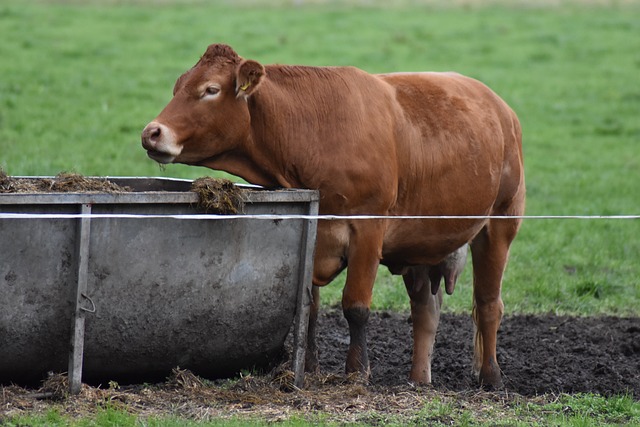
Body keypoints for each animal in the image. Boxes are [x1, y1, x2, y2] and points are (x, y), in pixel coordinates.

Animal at [141, 43, 524, 388]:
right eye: (178, 86)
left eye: (210, 90)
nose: (151, 132)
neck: (316, 131)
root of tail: (501, 108)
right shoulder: (313, 229)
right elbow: (308, 307)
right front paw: (309, 368)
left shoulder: (369, 229)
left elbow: (355, 306)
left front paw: (357, 372)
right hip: (421, 243)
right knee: (425, 311)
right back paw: (418, 381)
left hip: (500, 225)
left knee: (489, 303)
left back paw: (491, 378)